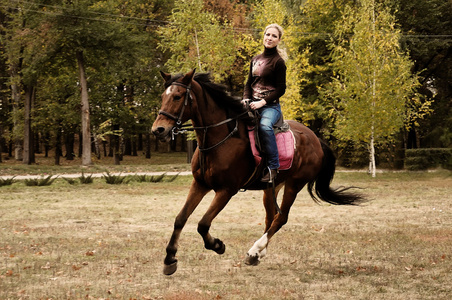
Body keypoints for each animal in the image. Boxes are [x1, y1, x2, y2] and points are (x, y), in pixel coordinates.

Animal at [152, 69, 364, 276]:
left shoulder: (226, 190)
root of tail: (315, 138)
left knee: (281, 218)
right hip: (272, 187)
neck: (220, 138)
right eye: (163, 96)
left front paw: (217, 245)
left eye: (178, 96)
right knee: (271, 218)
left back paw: (255, 249)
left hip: (294, 185)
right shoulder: (200, 184)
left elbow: (203, 224)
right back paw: (257, 254)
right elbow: (180, 219)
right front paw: (169, 259)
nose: (158, 130)